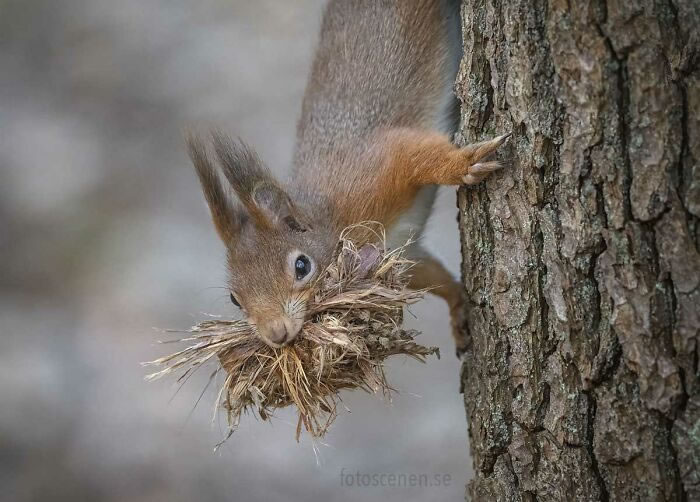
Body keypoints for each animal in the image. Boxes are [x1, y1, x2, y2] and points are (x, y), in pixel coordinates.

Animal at [187, 0, 508, 356]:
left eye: (302, 266)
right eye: (235, 299)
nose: (276, 333)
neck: (332, 219)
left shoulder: (375, 168)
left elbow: (415, 156)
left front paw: (462, 165)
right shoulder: (402, 252)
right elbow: (432, 275)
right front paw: (458, 308)